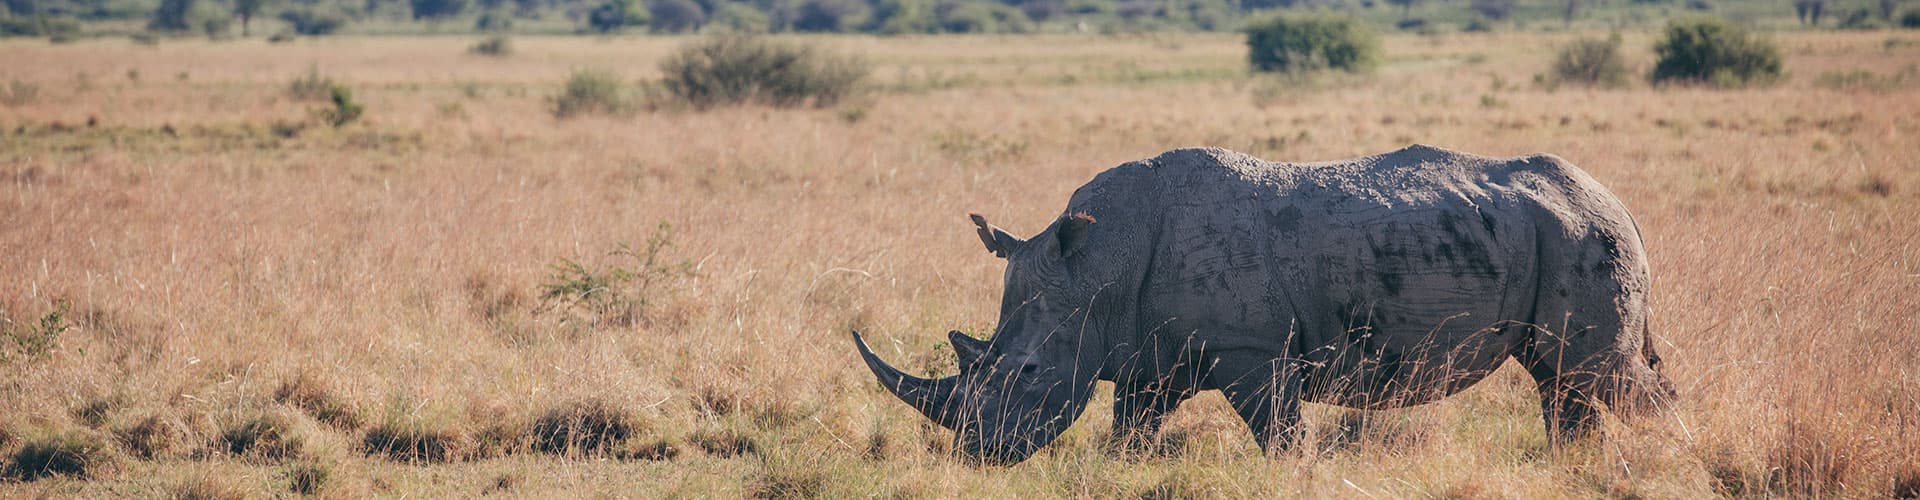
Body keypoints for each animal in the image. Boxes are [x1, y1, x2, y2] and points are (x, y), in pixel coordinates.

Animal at [853, 145, 1676, 464]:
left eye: (1025, 374)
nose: (977, 455)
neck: (1096, 268)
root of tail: (1622, 202)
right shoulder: (1148, 354)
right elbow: (1131, 433)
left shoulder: (1252, 353)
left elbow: (1281, 437)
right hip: (1558, 233)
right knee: (1562, 382)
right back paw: (1574, 466)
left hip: (1580, 234)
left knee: (1598, 377)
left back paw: (1669, 460)